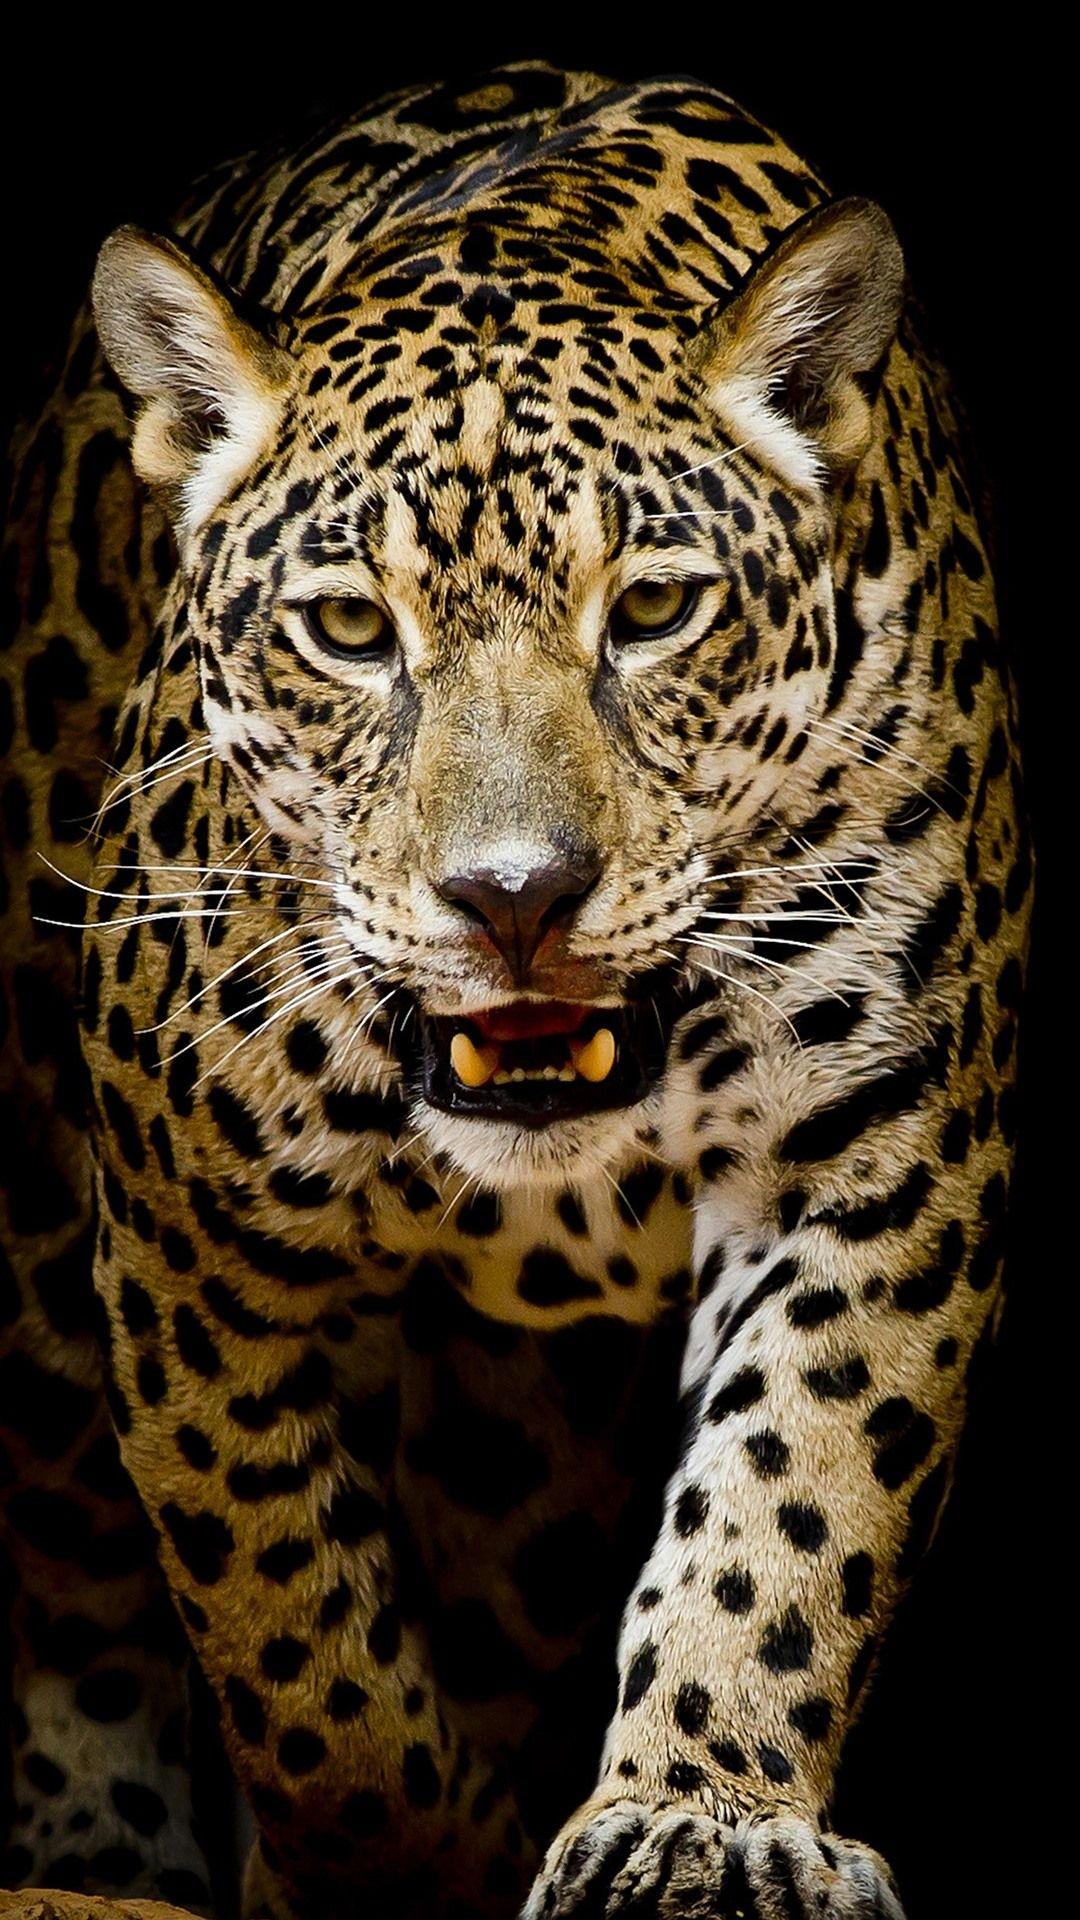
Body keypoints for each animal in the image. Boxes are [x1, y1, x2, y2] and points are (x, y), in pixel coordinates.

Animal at [0, 59, 1031, 1920]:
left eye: (657, 610)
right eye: (348, 629)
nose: (516, 900)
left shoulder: (880, 1159)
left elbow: (795, 1502)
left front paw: (702, 1819)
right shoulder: (189, 1246)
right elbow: (291, 1632)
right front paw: (399, 1865)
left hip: (525, 1445)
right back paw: (97, 1849)